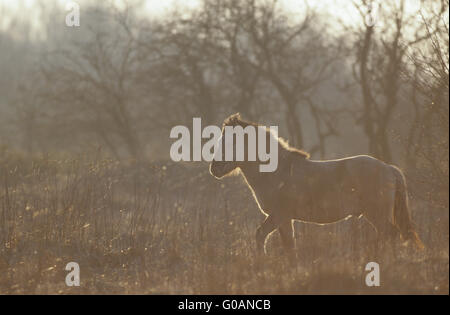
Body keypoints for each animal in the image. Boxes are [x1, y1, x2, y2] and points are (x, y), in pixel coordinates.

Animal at [209, 113, 424, 256]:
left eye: (232, 142)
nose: (214, 168)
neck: (277, 173)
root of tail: (388, 168)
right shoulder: (285, 219)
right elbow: (289, 246)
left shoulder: (279, 215)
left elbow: (260, 235)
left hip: (377, 213)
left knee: (392, 234)